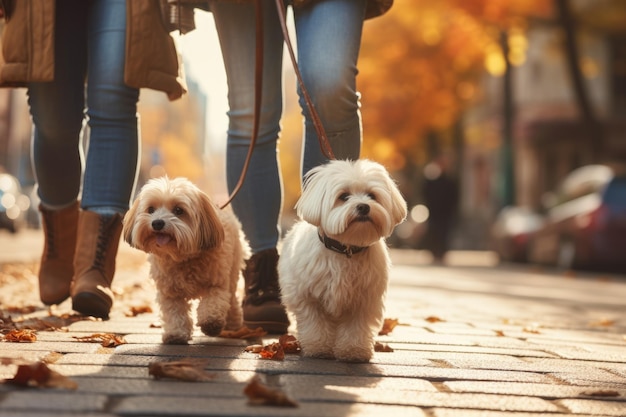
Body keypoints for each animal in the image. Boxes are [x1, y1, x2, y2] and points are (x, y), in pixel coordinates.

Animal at [122, 177, 249, 342]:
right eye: (151, 209)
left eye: (178, 210)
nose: (157, 223)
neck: (182, 258)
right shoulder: (169, 292)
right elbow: (175, 312)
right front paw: (176, 333)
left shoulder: (217, 284)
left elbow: (213, 302)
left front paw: (211, 323)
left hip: (232, 272)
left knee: (232, 298)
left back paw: (233, 324)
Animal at [276, 159, 404, 360]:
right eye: (344, 196)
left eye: (371, 195)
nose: (363, 206)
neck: (346, 249)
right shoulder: (308, 297)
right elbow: (315, 323)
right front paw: (318, 347)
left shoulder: (364, 299)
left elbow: (356, 327)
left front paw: (354, 350)